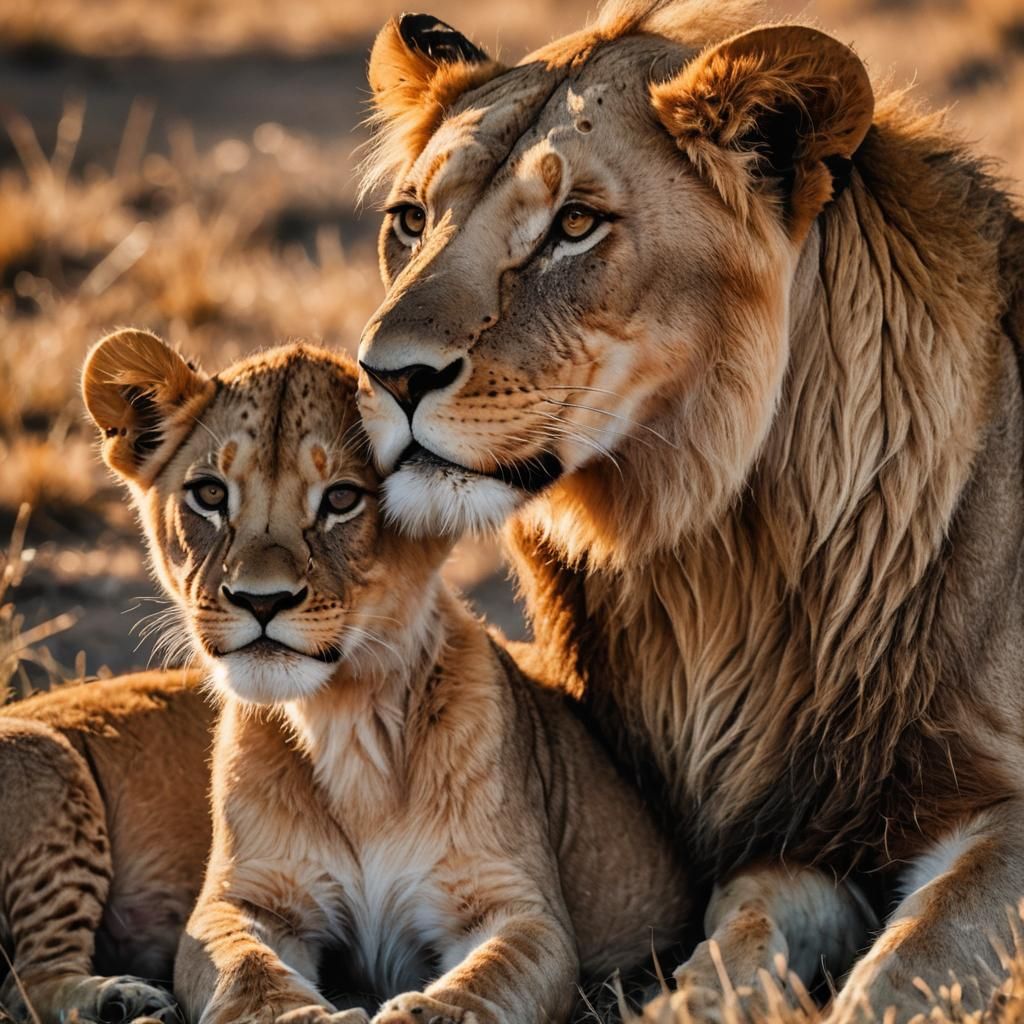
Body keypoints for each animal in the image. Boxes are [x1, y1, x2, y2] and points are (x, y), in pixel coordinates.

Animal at [79, 329, 700, 1024]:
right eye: (210, 495)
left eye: (342, 499)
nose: (261, 601)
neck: (347, 721)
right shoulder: (239, 900)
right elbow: (246, 976)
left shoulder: (520, 906)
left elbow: (486, 982)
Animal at [355, 0, 1024, 1018]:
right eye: (411, 220)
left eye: (576, 224)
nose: (386, 376)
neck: (712, 555)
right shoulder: (784, 835)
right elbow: (743, 931)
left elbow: (925, 949)